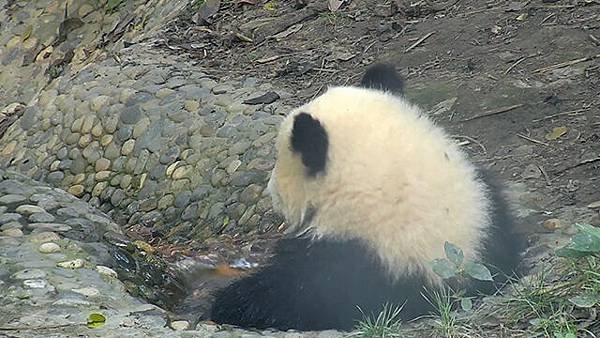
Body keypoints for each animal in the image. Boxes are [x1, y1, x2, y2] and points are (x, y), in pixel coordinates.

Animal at [209, 62, 524, 330]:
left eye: (279, 159)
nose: (271, 189)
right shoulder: (491, 218)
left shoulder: (349, 266)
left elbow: (289, 296)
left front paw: (225, 303)